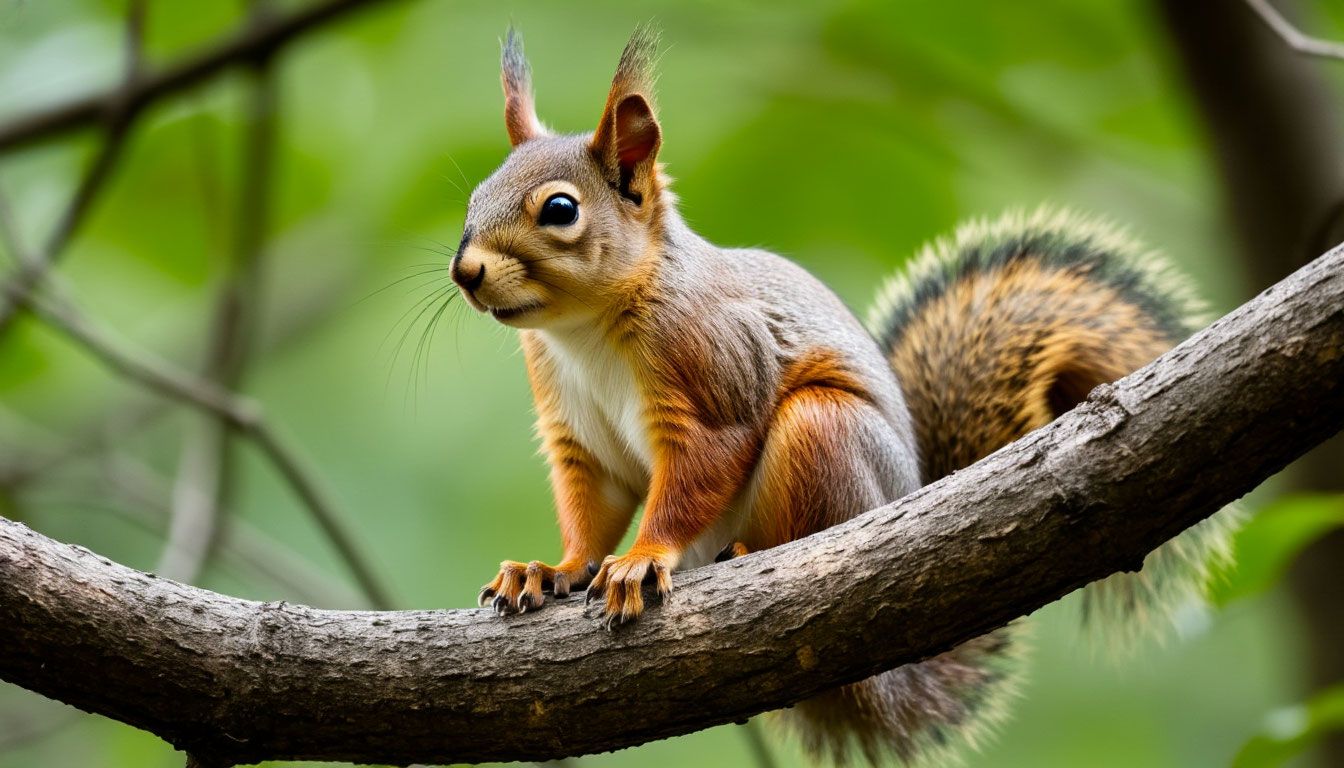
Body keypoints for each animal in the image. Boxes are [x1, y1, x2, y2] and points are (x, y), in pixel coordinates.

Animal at [450, 27, 1239, 766]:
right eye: (472, 200)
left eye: (560, 209)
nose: (465, 272)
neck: (583, 331)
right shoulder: (574, 430)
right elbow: (594, 503)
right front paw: (553, 570)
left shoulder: (712, 370)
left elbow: (700, 469)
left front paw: (644, 557)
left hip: (825, 432)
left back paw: (749, 551)